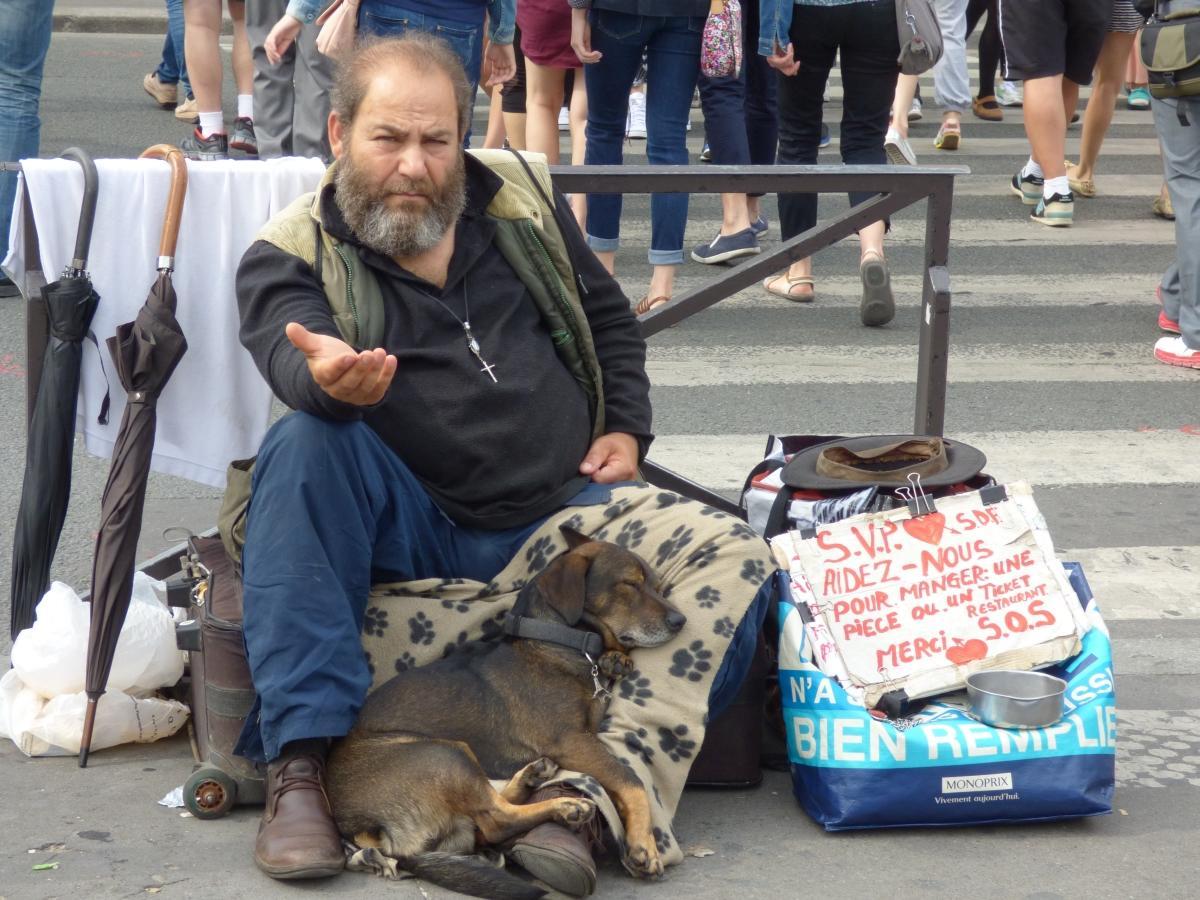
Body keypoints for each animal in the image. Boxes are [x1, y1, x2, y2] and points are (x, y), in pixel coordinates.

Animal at [326, 527, 687, 898]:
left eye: (658, 586)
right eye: (630, 584)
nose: (680, 621)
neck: (559, 641)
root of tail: (368, 833)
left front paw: (617, 658)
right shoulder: (572, 741)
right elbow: (631, 780)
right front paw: (644, 843)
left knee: (486, 815)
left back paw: (532, 776)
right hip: (444, 752)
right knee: (495, 821)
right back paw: (564, 806)